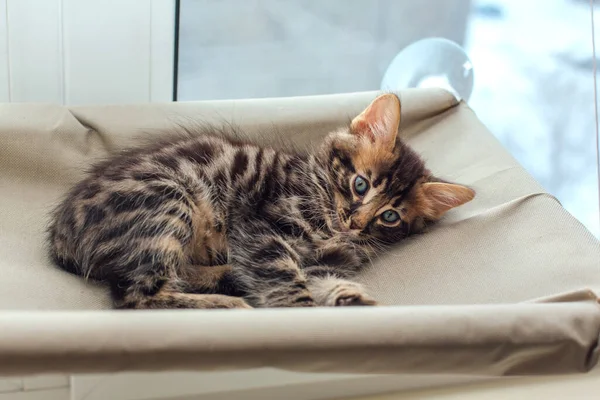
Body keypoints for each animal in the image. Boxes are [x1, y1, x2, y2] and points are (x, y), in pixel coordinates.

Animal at [48, 94, 474, 310]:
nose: (355, 222)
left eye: (389, 216)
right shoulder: (263, 229)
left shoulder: (317, 261)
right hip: (170, 202)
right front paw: (301, 310)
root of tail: (60, 235)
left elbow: (321, 278)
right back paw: (230, 304)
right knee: (136, 296)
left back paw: (229, 278)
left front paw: (346, 296)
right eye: (360, 184)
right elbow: (286, 280)